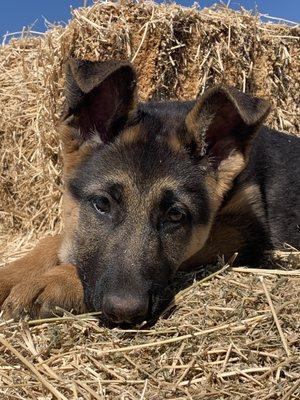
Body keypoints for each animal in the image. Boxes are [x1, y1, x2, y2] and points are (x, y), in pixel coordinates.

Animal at [0, 59, 298, 324]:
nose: (125, 313)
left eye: (175, 216)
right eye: (102, 204)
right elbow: (54, 241)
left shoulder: (239, 230)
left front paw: (59, 280)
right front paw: (13, 273)